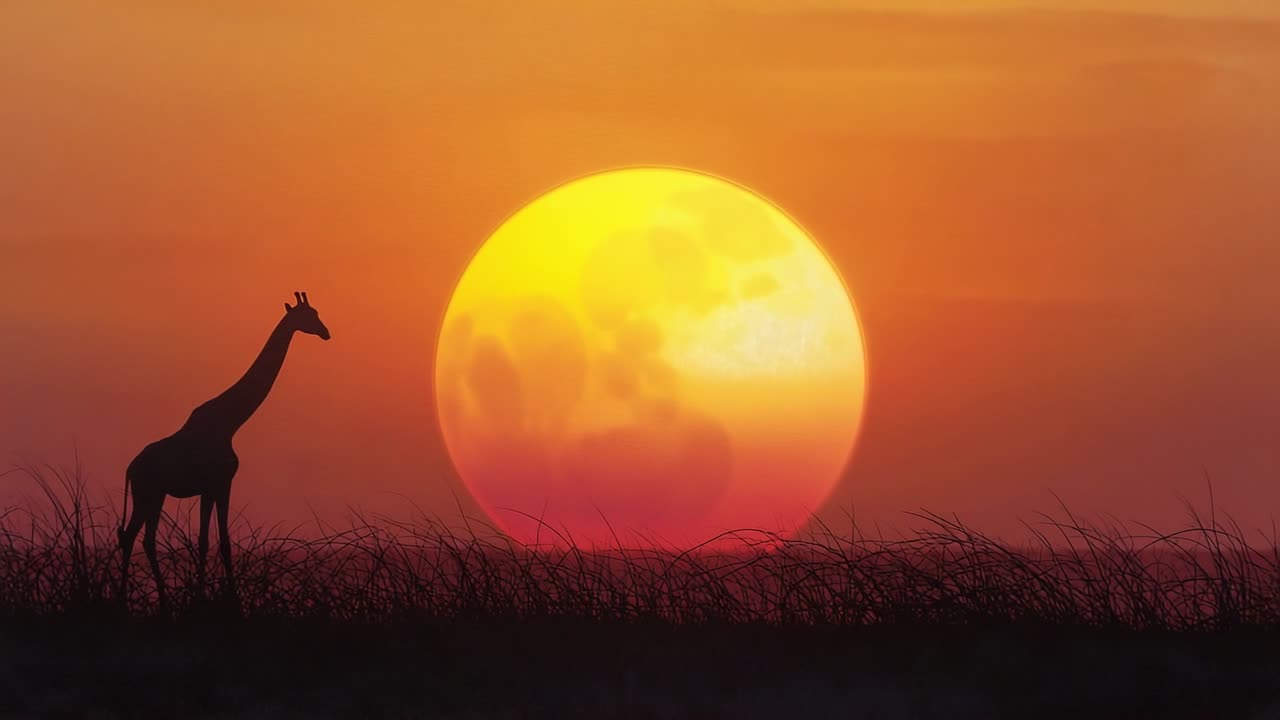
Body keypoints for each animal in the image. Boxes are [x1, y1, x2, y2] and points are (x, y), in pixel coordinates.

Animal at [118, 291, 330, 602]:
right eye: (308, 315)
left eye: (316, 313)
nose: (326, 332)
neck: (231, 422)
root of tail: (130, 469)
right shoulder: (222, 483)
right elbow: (222, 543)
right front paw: (225, 597)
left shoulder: (211, 488)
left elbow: (206, 541)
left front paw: (202, 593)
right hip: (147, 492)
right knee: (132, 537)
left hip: (154, 495)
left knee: (140, 538)